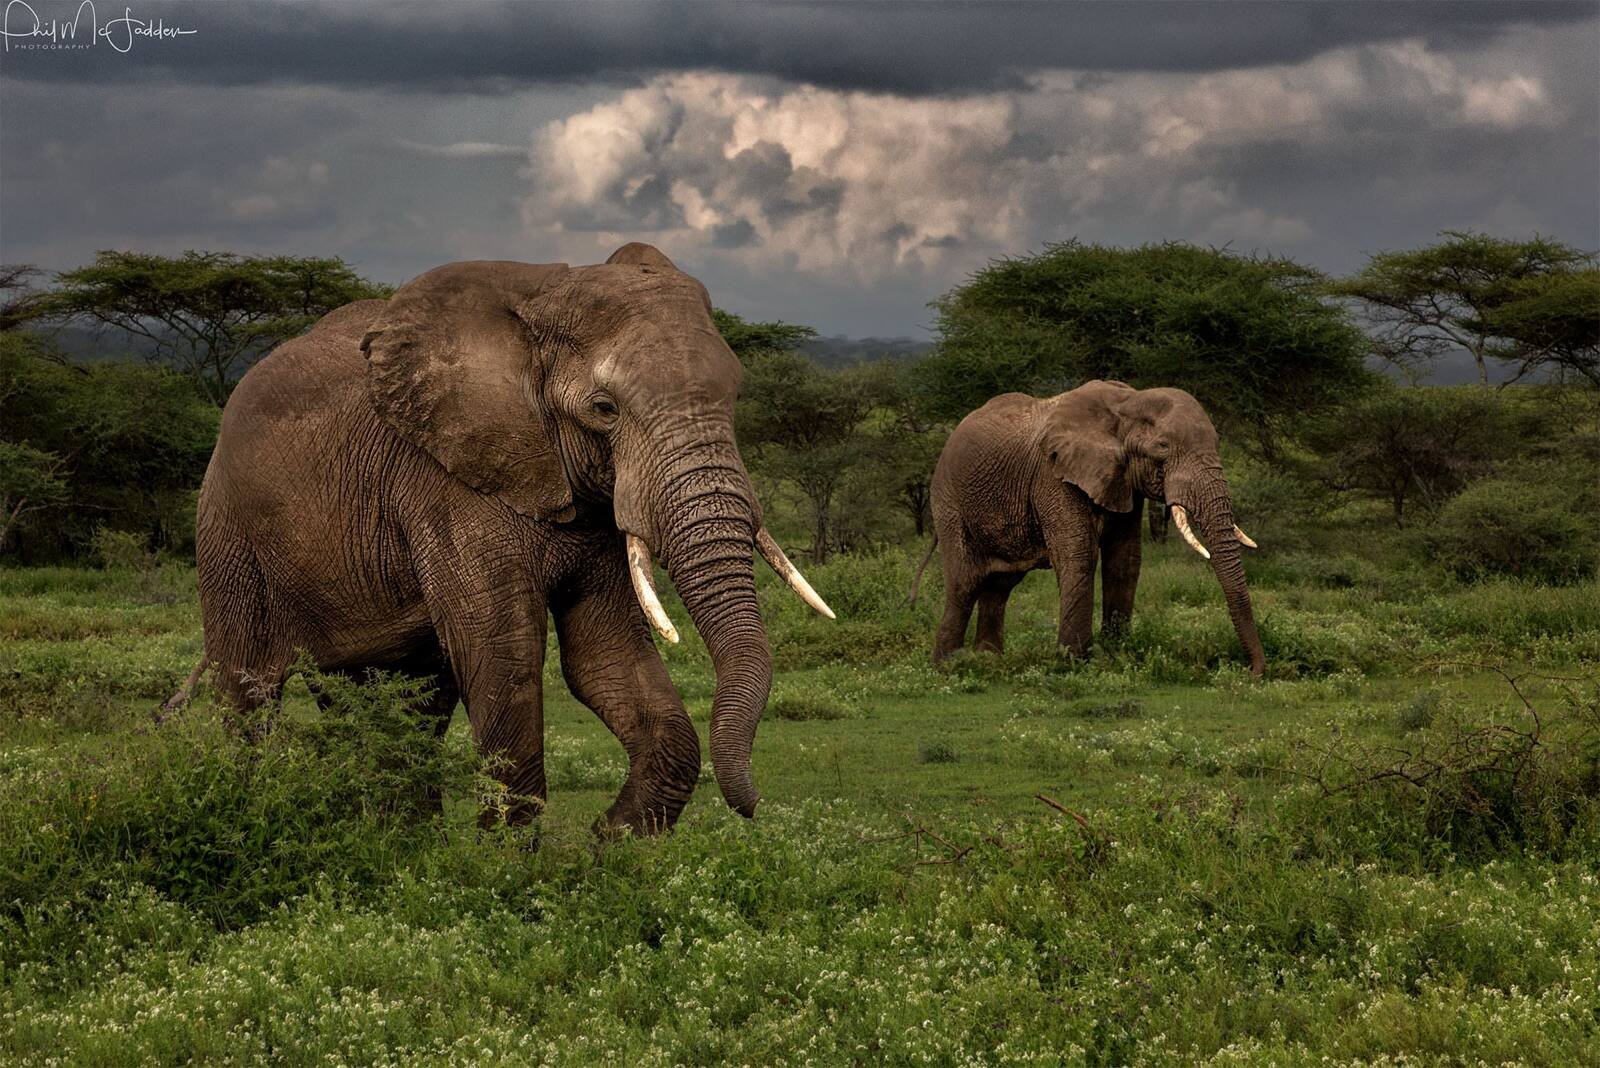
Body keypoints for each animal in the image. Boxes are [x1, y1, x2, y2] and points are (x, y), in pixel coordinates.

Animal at [188, 243, 834, 836]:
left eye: (736, 397)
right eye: (605, 408)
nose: (753, 806)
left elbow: (604, 656)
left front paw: (607, 848)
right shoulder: (444, 484)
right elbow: (505, 654)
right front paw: (509, 872)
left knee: (402, 702)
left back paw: (404, 847)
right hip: (228, 531)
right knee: (249, 691)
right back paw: (249, 814)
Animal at [917, 380, 1264, 674]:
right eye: (1163, 447)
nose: (1252, 671)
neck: (1128, 401)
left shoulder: (1124, 482)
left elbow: (1125, 560)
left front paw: (1117, 651)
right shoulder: (1054, 476)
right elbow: (1079, 556)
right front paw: (1074, 661)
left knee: (999, 587)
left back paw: (988, 662)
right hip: (949, 501)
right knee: (965, 583)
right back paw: (949, 666)